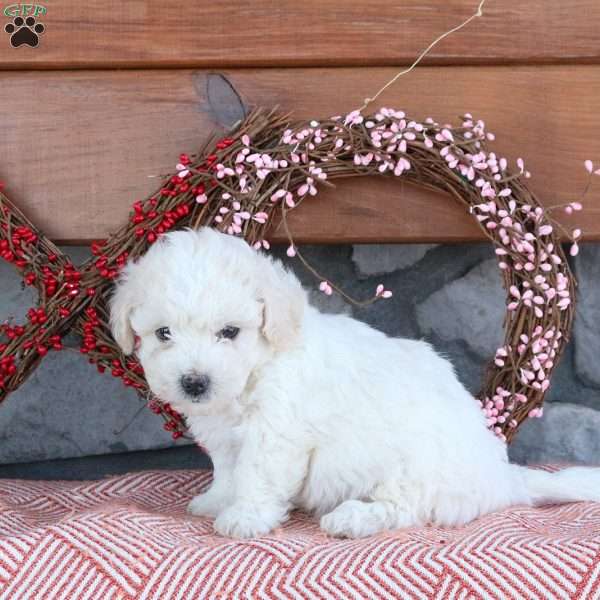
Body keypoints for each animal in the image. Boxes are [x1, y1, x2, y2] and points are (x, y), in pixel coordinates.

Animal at [110, 230, 600, 540]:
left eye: (229, 332)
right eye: (163, 334)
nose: (194, 383)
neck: (258, 369)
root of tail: (501, 478)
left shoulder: (275, 433)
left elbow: (257, 475)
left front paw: (245, 517)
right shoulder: (226, 438)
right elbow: (229, 471)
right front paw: (217, 500)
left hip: (416, 464)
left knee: (404, 507)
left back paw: (352, 518)